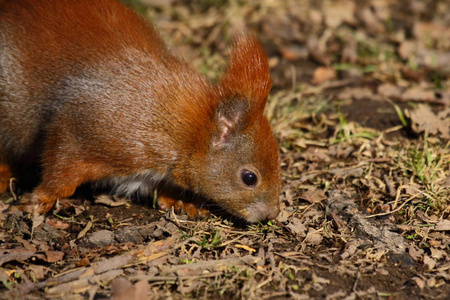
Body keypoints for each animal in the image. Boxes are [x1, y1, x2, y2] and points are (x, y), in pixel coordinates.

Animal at [0, 0, 282, 223]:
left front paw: (179, 202)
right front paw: (38, 200)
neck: (182, 131)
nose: (271, 214)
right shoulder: (89, 129)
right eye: (249, 177)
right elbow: (60, 170)